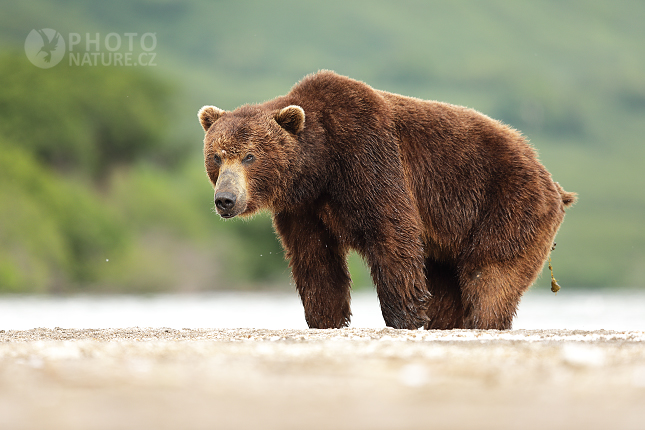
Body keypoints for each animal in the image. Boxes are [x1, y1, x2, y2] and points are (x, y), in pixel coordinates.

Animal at [197, 72, 572, 330]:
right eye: (216, 156)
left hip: (507, 203)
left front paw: (405, 316)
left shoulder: (369, 156)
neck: (320, 166)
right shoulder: (303, 207)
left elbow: (392, 232)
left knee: (490, 274)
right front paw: (325, 318)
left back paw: (483, 320)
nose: (225, 199)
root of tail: (551, 179)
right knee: (448, 283)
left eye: (249, 156)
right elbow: (314, 257)